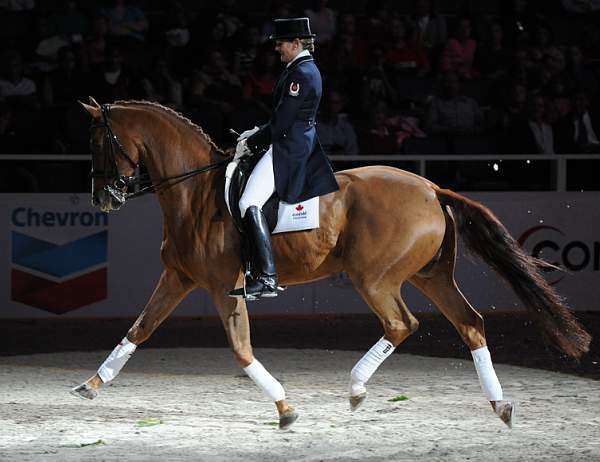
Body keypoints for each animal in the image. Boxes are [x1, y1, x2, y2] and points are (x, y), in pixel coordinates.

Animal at [71, 99, 592, 432]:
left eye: (99, 142)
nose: (102, 199)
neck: (195, 194)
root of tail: (431, 188)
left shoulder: (223, 286)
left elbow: (241, 350)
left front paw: (285, 409)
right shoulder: (178, 277)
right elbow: (139, 330)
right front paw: (91, 385)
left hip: (375, 278)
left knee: (401, 324)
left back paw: (357, 389)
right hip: (430, 276)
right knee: (470, 324)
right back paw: (499, 404)